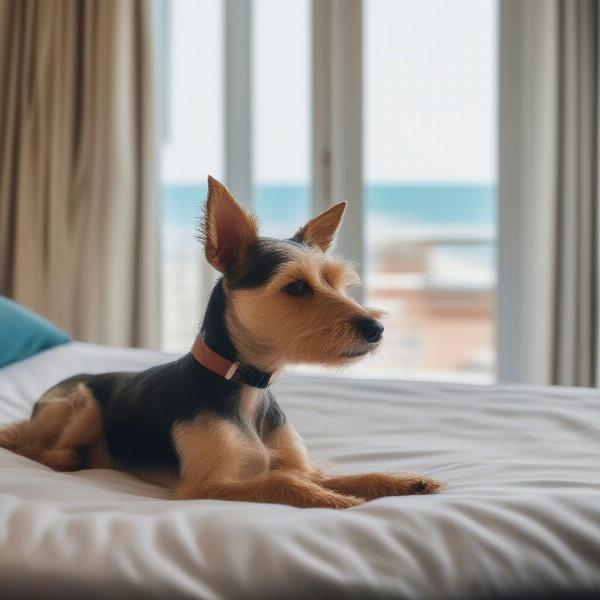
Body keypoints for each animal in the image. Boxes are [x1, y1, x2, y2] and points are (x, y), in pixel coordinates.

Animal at [0, 176, 440, 508]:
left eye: (340, 284)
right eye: (296, 287)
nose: (376, 329)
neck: (246, 386)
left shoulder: (302, 465)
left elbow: (343, 475)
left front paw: (400, 480)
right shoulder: (205, 487)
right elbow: (282, 483)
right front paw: (337, 502)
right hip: (81, 403)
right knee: (27, 446)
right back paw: (63, 455)